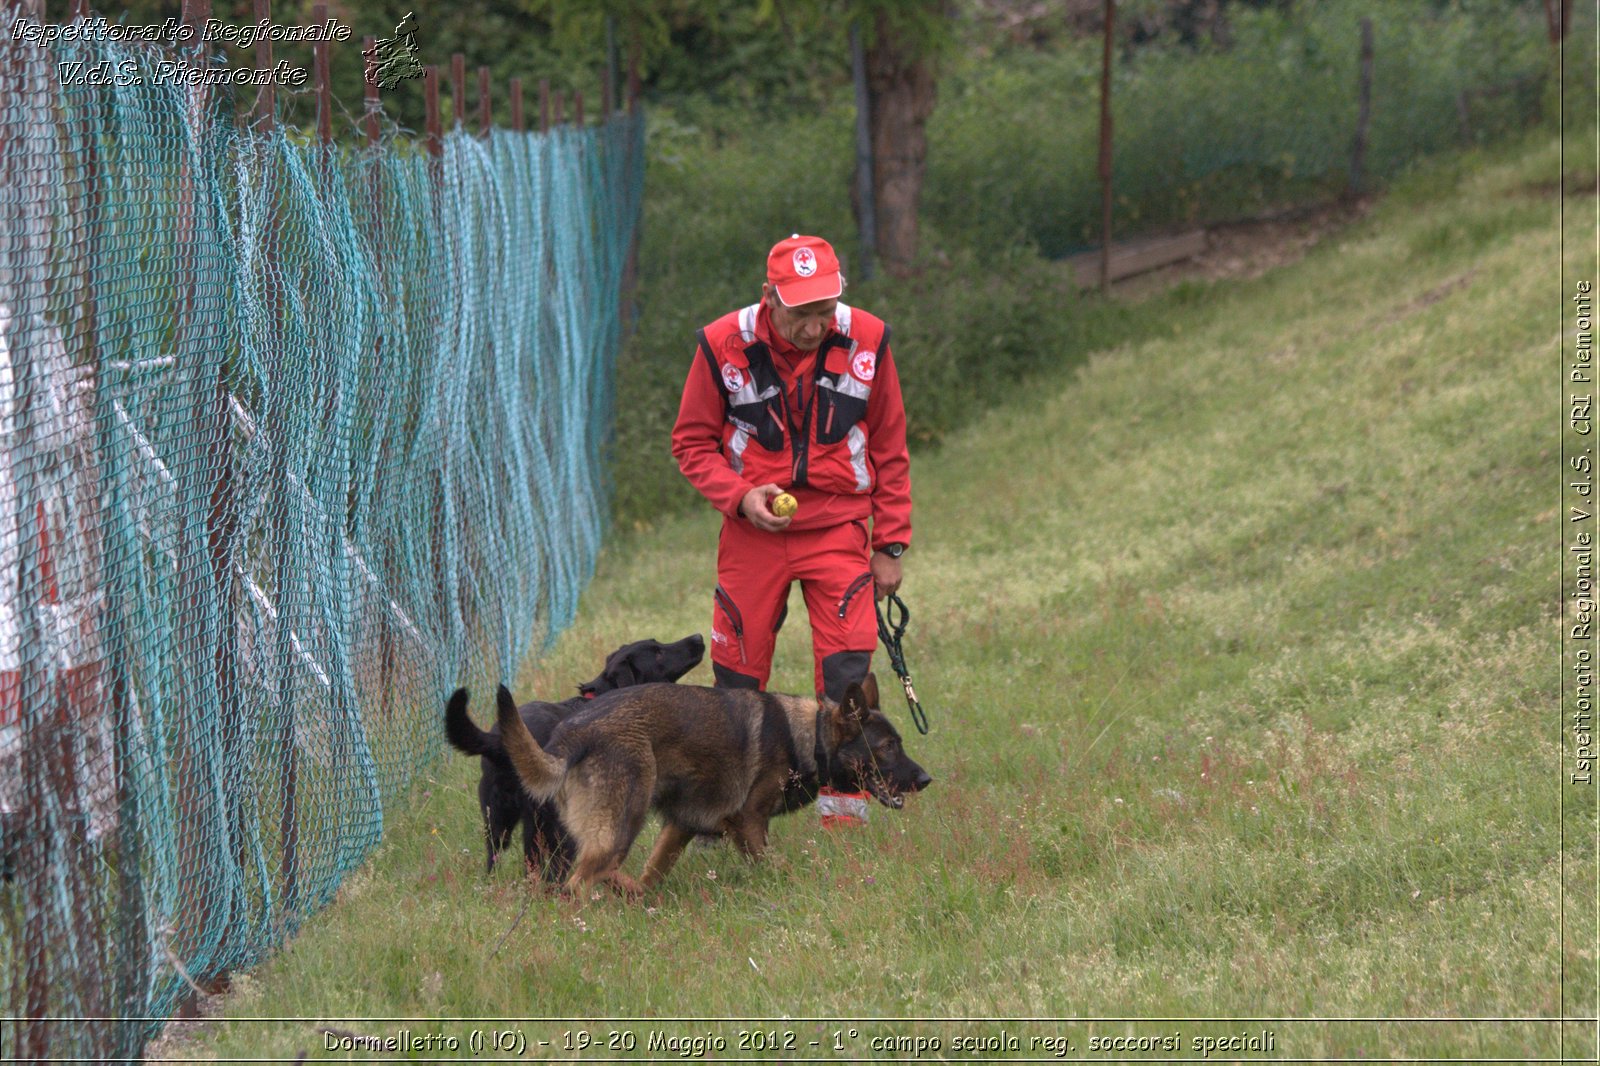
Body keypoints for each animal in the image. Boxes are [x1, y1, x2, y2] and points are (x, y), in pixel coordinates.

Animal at [444, 630, 707, 870]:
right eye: (658, 652)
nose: (699, 637)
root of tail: (501, 743)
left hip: (501, 819)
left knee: (508, 860)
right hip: (557, 826)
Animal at [492, 672, 934, 896]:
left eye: (899, 743)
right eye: (888, 747)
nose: (926, 779)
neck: (811, 736)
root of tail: (572, 734)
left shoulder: (681, 826)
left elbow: (654, 873)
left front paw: (642, 899)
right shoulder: (749, 824)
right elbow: (781, 868)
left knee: (589, 872)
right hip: (623, 824)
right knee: (580, 880)